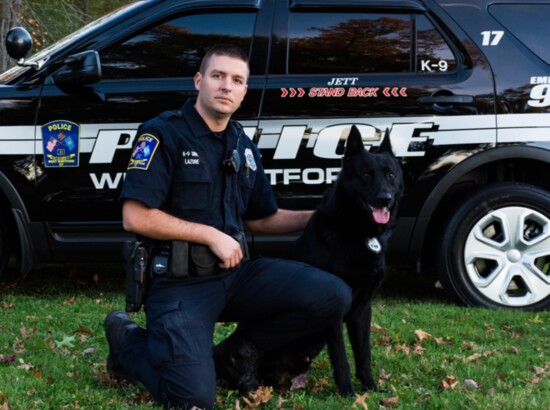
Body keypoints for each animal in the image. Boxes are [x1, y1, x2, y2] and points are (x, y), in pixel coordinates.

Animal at [258, 124, 406, 394]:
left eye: (390, 175)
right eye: (366, 175)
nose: (385, 198)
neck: (358, 232)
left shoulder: (362, 310)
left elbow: (363, 354)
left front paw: (370, 387)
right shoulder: (336, 314)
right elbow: (341, 357)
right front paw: (347, 392)